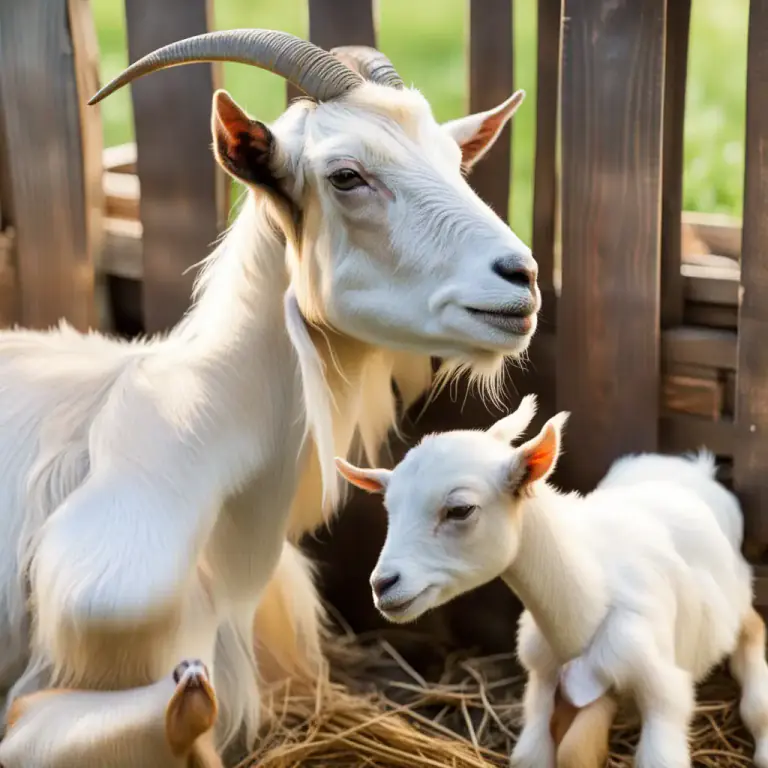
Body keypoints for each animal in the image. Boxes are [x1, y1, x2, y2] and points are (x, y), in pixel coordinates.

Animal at [337, 395, 768, 768]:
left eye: (460, 509)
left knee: (753, 635)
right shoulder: (541, 680)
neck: (581, 615)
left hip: (737, 593)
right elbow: (551, 751)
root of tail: (695, 466)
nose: (382, 585)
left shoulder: (664, 688)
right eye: (389, 508)